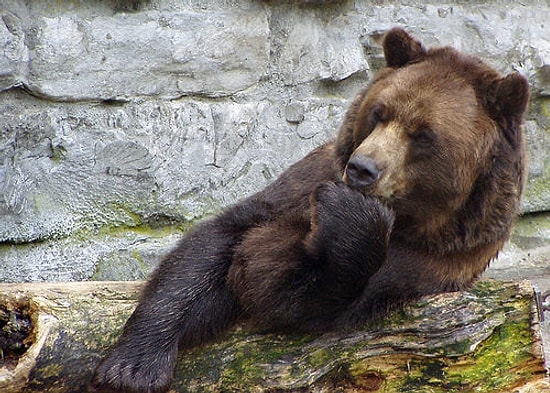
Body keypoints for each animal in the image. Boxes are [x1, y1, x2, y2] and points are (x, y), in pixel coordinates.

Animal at [90, 28, 532, 392]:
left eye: (422, 134)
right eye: (379, 113)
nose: (362, 168)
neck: (412, 217)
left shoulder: (429, 262)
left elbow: (298, 294)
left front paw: (350, 217)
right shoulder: (303, 185)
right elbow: (223, 245)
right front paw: (134, 365)